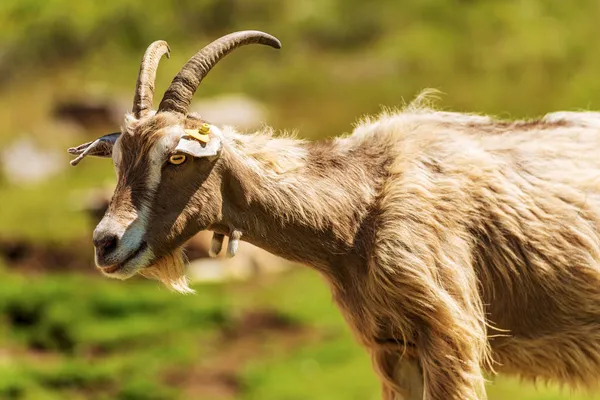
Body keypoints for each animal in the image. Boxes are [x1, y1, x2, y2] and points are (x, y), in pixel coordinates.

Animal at [68, 29, 600, 398]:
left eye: (176, 157)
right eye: (118, 160)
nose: (105, 243)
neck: (358, 206)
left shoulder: (452, 335)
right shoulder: (393, 346)